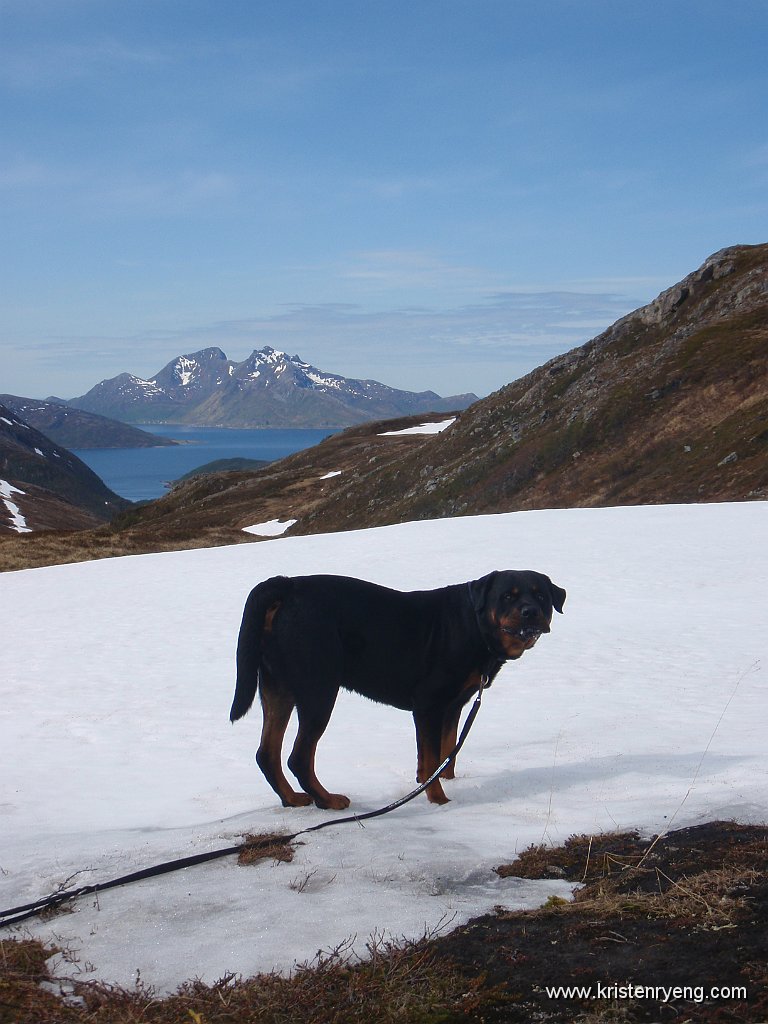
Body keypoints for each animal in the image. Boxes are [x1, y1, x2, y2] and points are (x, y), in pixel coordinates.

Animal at [228, 569, 565, 806]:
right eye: (507, 596)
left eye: (542, 597)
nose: (530, 612)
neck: (474, 625)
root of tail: (286, 586)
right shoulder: (429, 704)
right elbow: (431, 757)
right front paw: (439, 799)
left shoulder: (453, 705)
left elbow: (447, 752)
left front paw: (444, 782)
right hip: (318, 689)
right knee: (298, 757)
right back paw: (328, 800)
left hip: (277, 687)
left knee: (267, 753)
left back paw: (292, 799)